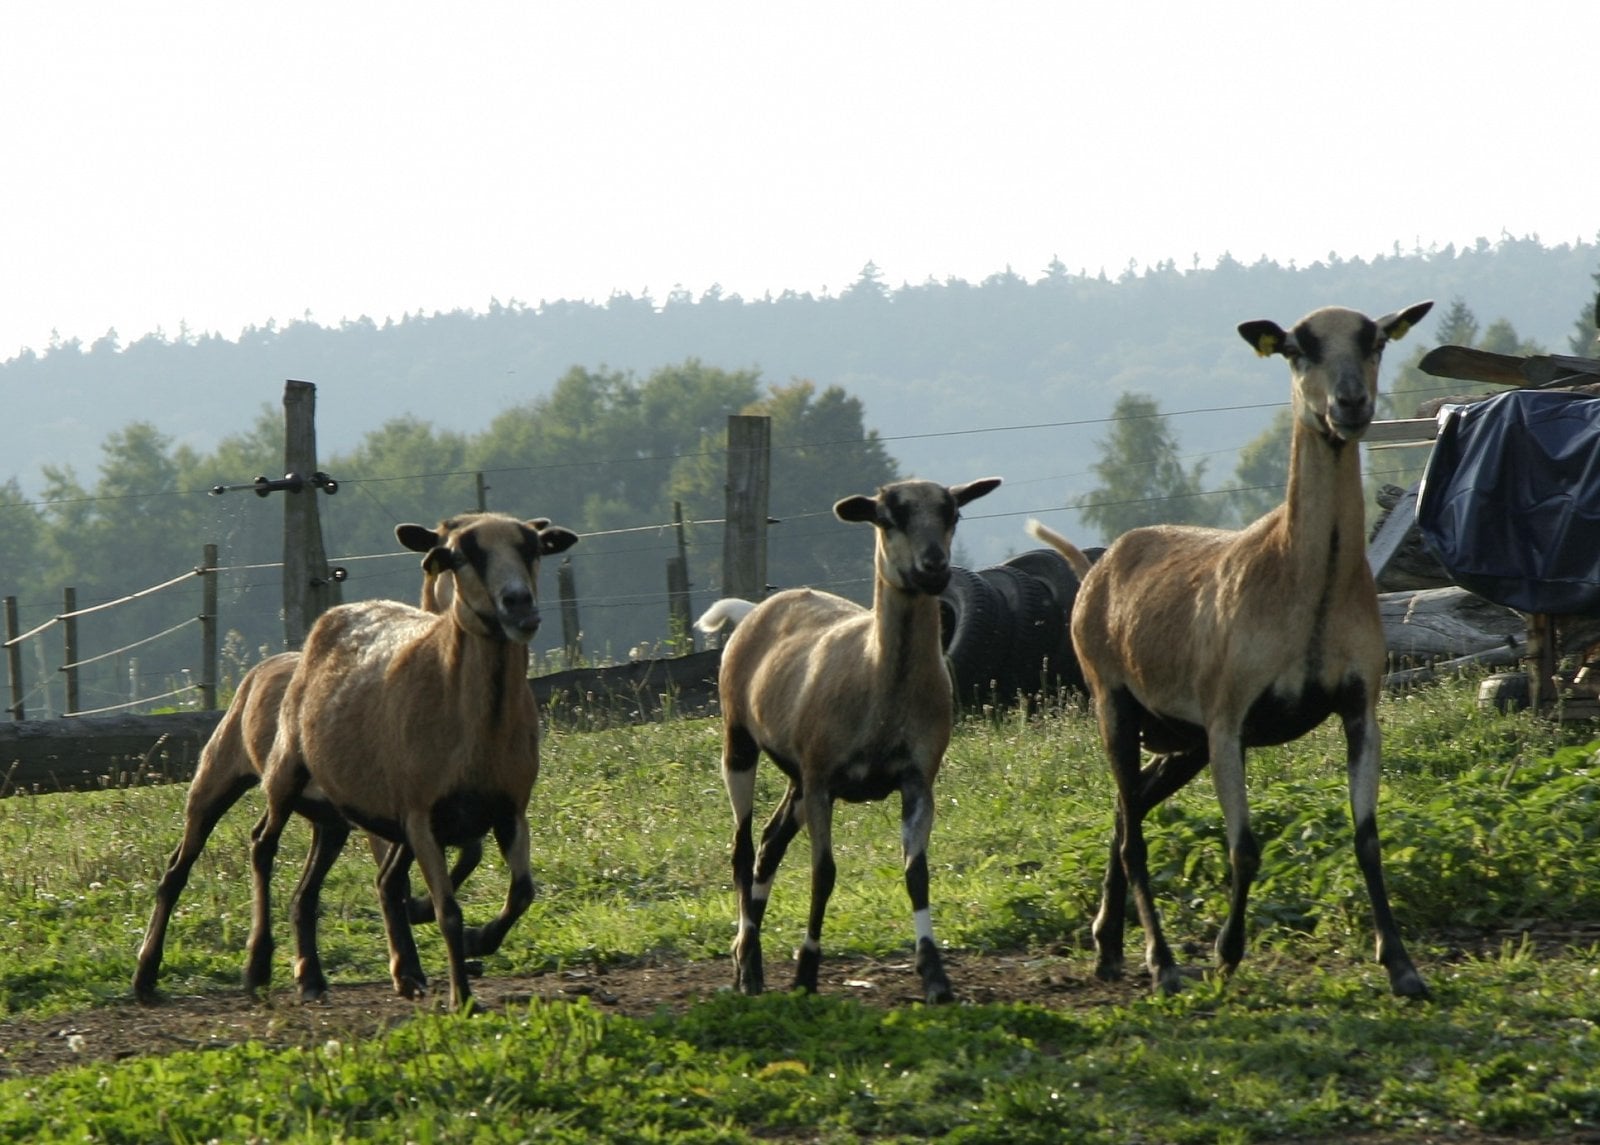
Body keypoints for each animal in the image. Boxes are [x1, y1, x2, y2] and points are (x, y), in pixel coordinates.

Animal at [134, 559, 483, 997]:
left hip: (328, 821)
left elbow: (465, 854)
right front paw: (411, 966)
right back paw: (152, 973)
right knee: (192, 863)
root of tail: (255, 674)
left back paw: (310, 975)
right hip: (220, 776)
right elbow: (397, 878)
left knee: (301, 887)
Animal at [241, 511, 576, 1010]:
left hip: (356, 812)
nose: (518, 604)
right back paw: (258, 964)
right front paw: (462, 998)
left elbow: (522, 892)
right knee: (264, 844)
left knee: (333, 885)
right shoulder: (422, 814)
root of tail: (339, 612)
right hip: (289, 766)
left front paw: (479, 942)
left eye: (533, 548)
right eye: (459, 556)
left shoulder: (510, 809)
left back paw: (317, 977)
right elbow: (448, 910)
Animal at [700, 473, 998, 1004]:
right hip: (740, 742)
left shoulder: (917, 781)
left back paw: (746, 963)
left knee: (769, 845)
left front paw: (936, 978)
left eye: (953, 513)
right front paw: (805, 972)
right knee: (742, 848)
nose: (934, 568)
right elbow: (824, 874)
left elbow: (917, 873)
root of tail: (757, 607)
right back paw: (748, 966)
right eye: (888, 517)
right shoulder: (824, 781)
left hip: (797, 774)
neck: (879, 679)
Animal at [1030, 299, 1433, 997]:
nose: (1350, 404)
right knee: (1133, 831)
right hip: (1113, 700)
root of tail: (1092, 574)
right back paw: (1161, 962)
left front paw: (1403, 966)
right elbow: (1243, 845)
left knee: (1126, 810)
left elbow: (1368, 838)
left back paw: (1108, 945)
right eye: (1296, 348)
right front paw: (1226, 951)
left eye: (1377, 340)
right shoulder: (1228, 716)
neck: (1304, 592)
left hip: (1177, 736)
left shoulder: (1361, 706)